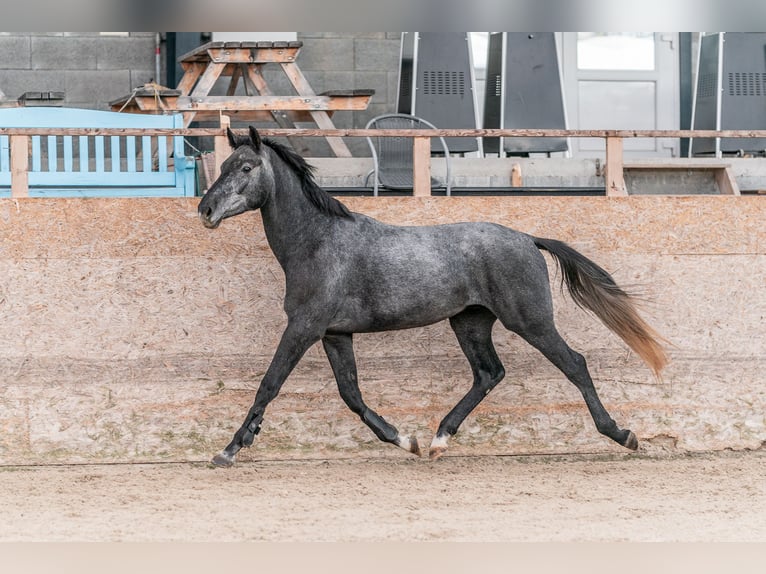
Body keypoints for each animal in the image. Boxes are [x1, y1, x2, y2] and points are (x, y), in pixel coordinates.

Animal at [200, 127, 672, 468]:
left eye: (245, 167)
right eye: (224, 164)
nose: (204, 210)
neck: (318, 242)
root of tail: (527, 238)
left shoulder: (304, 327)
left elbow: (270, 383)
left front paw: (228, 450)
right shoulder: (334, 334)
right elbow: (352, 394)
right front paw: (404, 440)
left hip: (530, 321)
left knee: (574, 364)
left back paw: (623, 435)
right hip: (470, 321)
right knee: (489, 373)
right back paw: (438, 440)